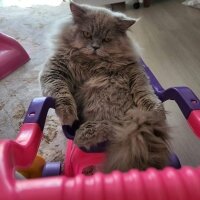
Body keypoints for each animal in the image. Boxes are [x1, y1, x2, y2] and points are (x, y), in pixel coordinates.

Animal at [39, 1, 170, 173]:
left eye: (107, 39)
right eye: (87, 34)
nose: (95, 47)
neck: (92, 64)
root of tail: (139, 125)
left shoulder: (134, 71)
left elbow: (145, 91)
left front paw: (156, 111)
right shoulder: (55, 71)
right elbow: (61, 92)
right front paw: (67, 114)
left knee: (114, 127)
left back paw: (83, 134)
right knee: (112, 128)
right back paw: (84, 134)